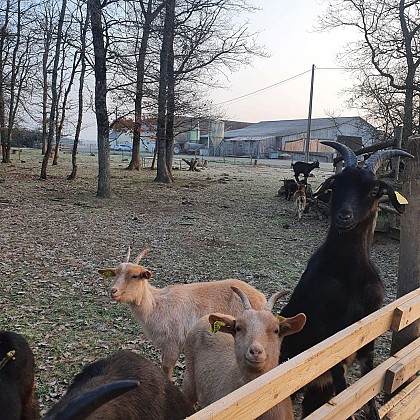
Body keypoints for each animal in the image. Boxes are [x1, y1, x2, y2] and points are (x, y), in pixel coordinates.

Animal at [98, 248, 266, 378]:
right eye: (115, 274)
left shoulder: (172, 344)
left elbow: (166, 370)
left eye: (134, 276)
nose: (113, 291)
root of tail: (260, 297)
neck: (156, 306)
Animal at [278, 142, 414, 420]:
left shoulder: (368, 328)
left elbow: (367, 387)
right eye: (337, 184)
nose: (344, 216)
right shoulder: (329, 335)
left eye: (374, 190)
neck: (350, 275)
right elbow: (344, 391)